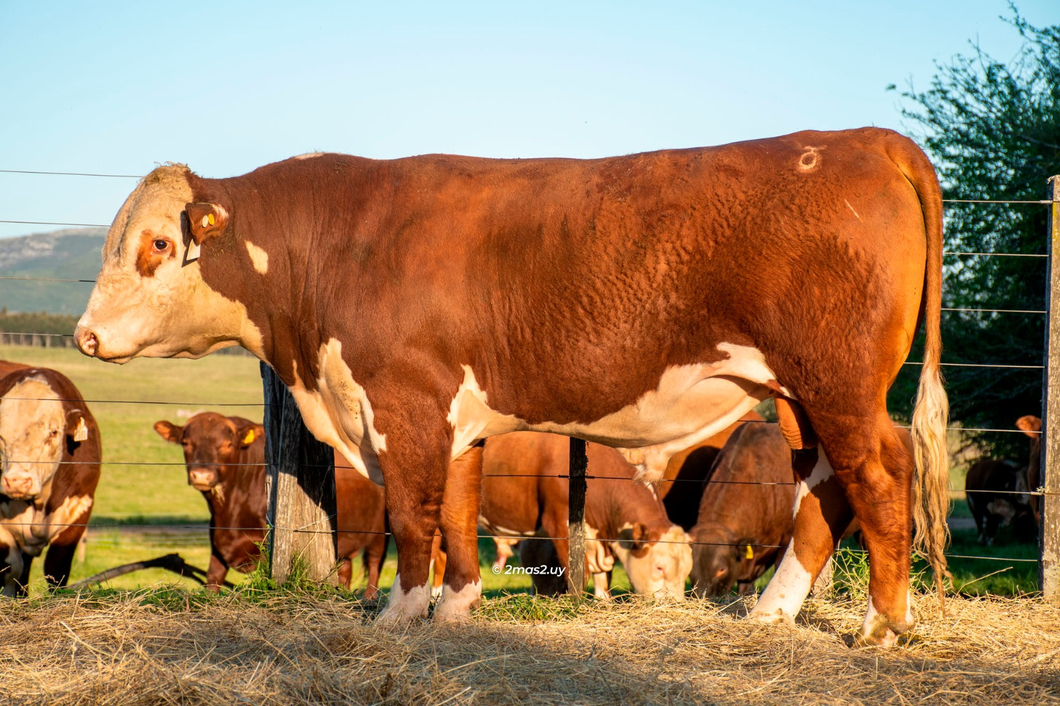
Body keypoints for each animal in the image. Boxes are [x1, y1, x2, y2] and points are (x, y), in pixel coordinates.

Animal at [154, 409, 387, 589]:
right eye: (186, 443)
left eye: (228, 444)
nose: (202, 475)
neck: (231, 509)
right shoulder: (217, 546)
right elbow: (212, 580)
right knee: (345, 571)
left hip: (379, 533)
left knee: (374, 566)